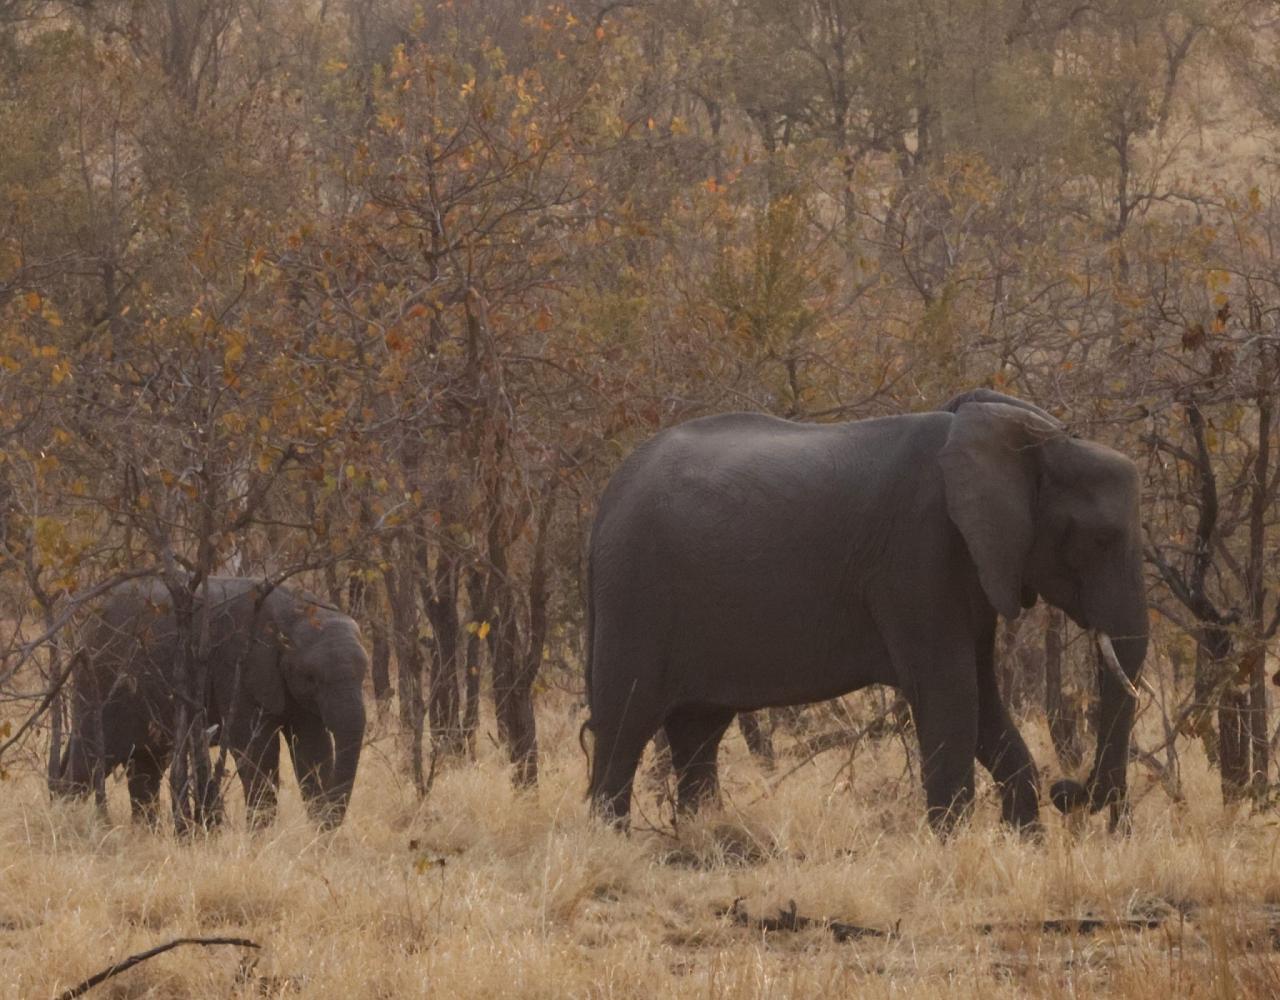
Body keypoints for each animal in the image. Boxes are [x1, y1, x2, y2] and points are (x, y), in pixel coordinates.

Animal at [60, 573, 371, 829]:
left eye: (363, 674)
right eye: (312, 677)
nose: (330, 826)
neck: (295, 612)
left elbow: (313, 748)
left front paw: (320, 834)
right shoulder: (238, 666)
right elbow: (256, 749)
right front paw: (261, 835)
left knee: (146, 767)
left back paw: (145, 833)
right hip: (103, 678)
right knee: (90, 759)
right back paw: (66, 818)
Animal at [586, 394, 1146, 829]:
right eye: (1097, 539)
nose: (1069, 791)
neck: (1033, 439)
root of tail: (607, 498)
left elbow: (983, 694)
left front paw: (1023, 842)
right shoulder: (918, 554)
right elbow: (951, 691)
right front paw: (952, 845)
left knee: (697, 731)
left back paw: (701, 834)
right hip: (634, 593)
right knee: (624, 728)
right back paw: (612, 840)